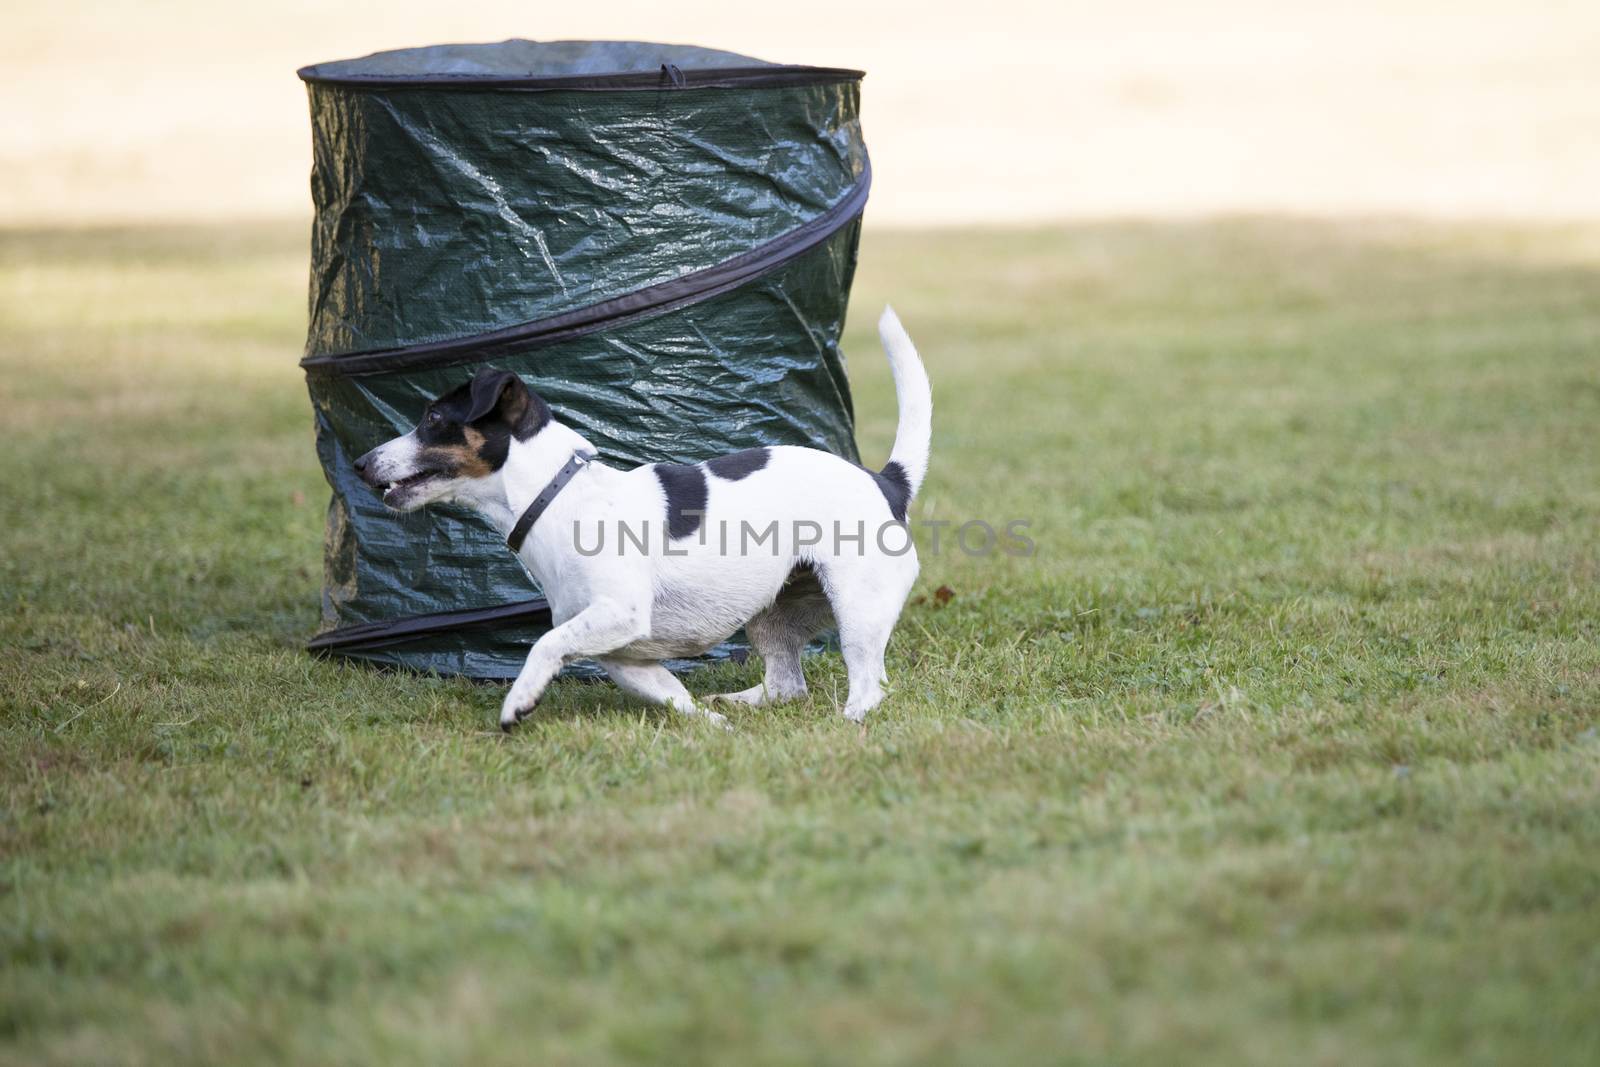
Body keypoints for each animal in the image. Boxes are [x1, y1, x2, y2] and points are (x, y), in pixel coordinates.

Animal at [350, 303, 928, 729]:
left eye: (432, 418)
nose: (359, 463)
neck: (557, 495)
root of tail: (886, 482)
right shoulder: (625, 656)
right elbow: (672, 695)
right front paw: (710, 727)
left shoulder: (620, 613)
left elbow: (543, 645)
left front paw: (519, 700)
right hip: (771, 614)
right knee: (788, 685)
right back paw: (739, 703)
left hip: (857, 607)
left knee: (870, 683)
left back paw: (849, 720)